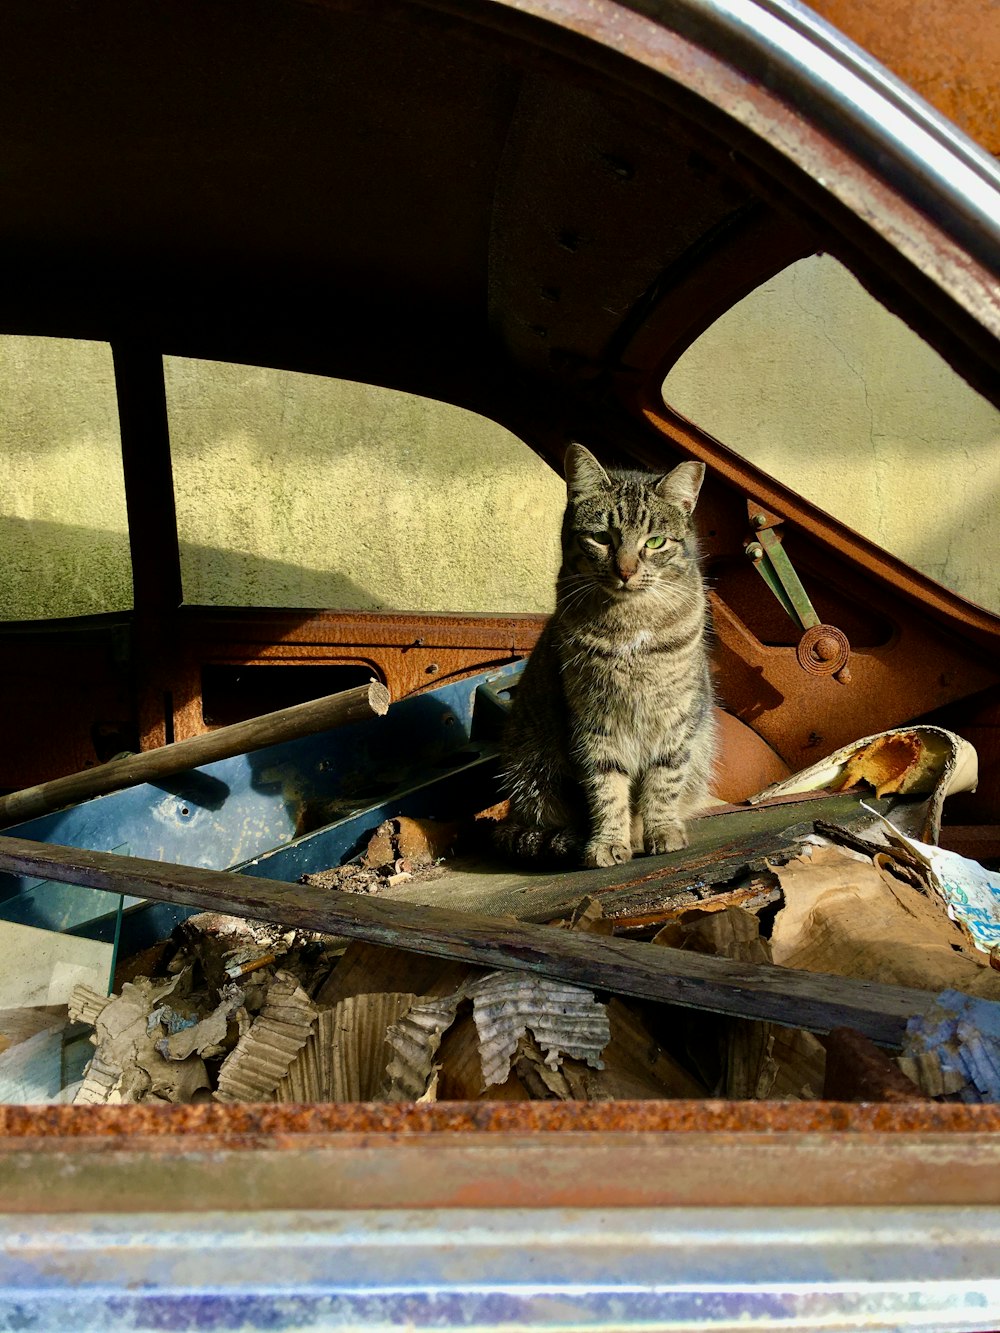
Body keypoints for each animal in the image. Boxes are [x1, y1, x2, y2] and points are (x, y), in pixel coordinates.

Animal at [490, 442, 714, 869]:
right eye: (601, 538)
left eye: (655, 542)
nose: (626, 571)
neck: (630, 625)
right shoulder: (593, 722)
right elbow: (606, 788)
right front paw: (608, 842)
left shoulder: (676, 718)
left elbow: (664, 781)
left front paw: (661, 832)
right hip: (531, 772)